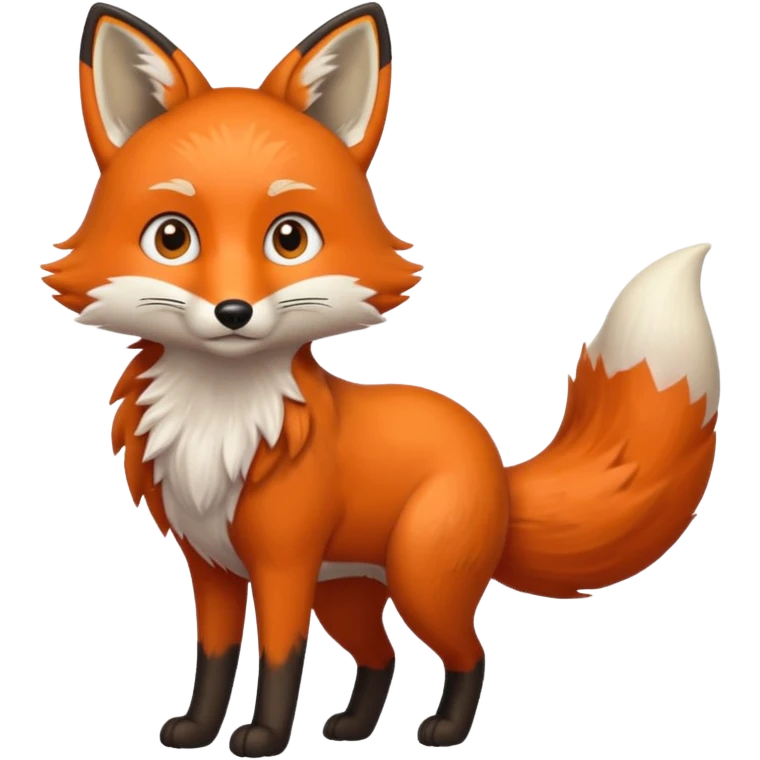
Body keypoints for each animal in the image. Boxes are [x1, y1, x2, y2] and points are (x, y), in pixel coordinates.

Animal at [42, 2, 721, 757]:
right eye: (171, 238)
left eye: (289, 238)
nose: (233, 312)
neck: (222, 419)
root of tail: (493, 460)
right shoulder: (211, 566)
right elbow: (214, 659)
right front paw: (195, 729)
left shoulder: (283, 564)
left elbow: (279, 657)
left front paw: (265, 736)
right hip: (349, 594)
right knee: (383, 656)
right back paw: (353, 727)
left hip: (422, 581)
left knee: (470, 652)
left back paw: (447, 730)